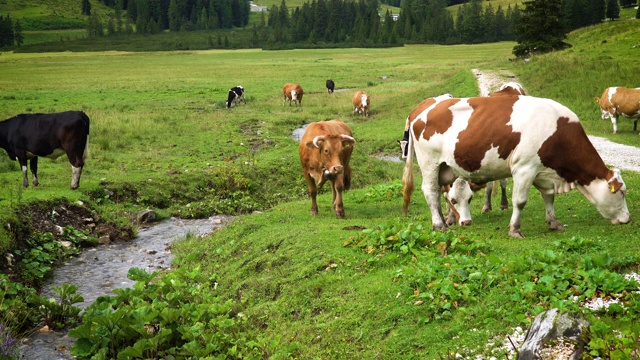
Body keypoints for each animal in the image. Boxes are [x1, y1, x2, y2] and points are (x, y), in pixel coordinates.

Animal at [404, 95, 632, 239]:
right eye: (622, 193)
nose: (628, 219)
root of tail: (423, 105)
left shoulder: (543, 171)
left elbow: (549, 197)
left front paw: (554, 222)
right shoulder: (525, 168)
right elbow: (520, 201)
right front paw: (515, 229)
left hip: (446, 168)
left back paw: (444, 220)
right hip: (429, 163)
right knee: (431, 191)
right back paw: (438, 224)